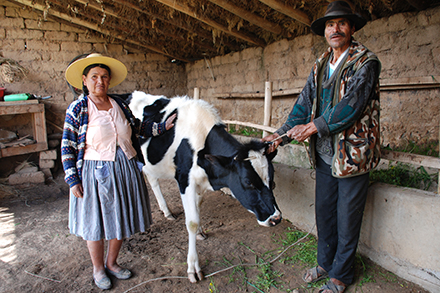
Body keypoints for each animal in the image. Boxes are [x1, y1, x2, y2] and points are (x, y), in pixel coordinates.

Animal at [126, 90, 282, 282]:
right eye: (248, 182)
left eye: (272, 180)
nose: (276, 218)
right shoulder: (185, 180)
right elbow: (192, 222)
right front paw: (193, 267)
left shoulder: (201, 181)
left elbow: (198, 209)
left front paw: (200, 232)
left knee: (152, 179)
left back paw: (167, 211)